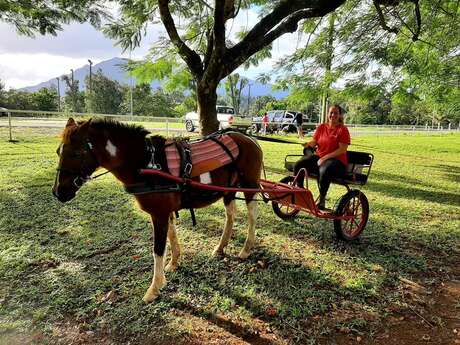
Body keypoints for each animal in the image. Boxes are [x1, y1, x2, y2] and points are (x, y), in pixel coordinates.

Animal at [51, 117, 262, 300]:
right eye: (58, 151)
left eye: (76, 153)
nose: (58, 192)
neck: (145, 163)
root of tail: (249, 138)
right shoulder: (166, 212)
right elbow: (172, 235)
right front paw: (174, 263)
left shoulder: (158, 214)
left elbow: (158, 249)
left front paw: (154, 288)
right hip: (228, 191)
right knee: (230, 215)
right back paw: (220, 247)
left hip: (250, 186)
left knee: (252, 215)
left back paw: (246, 248)